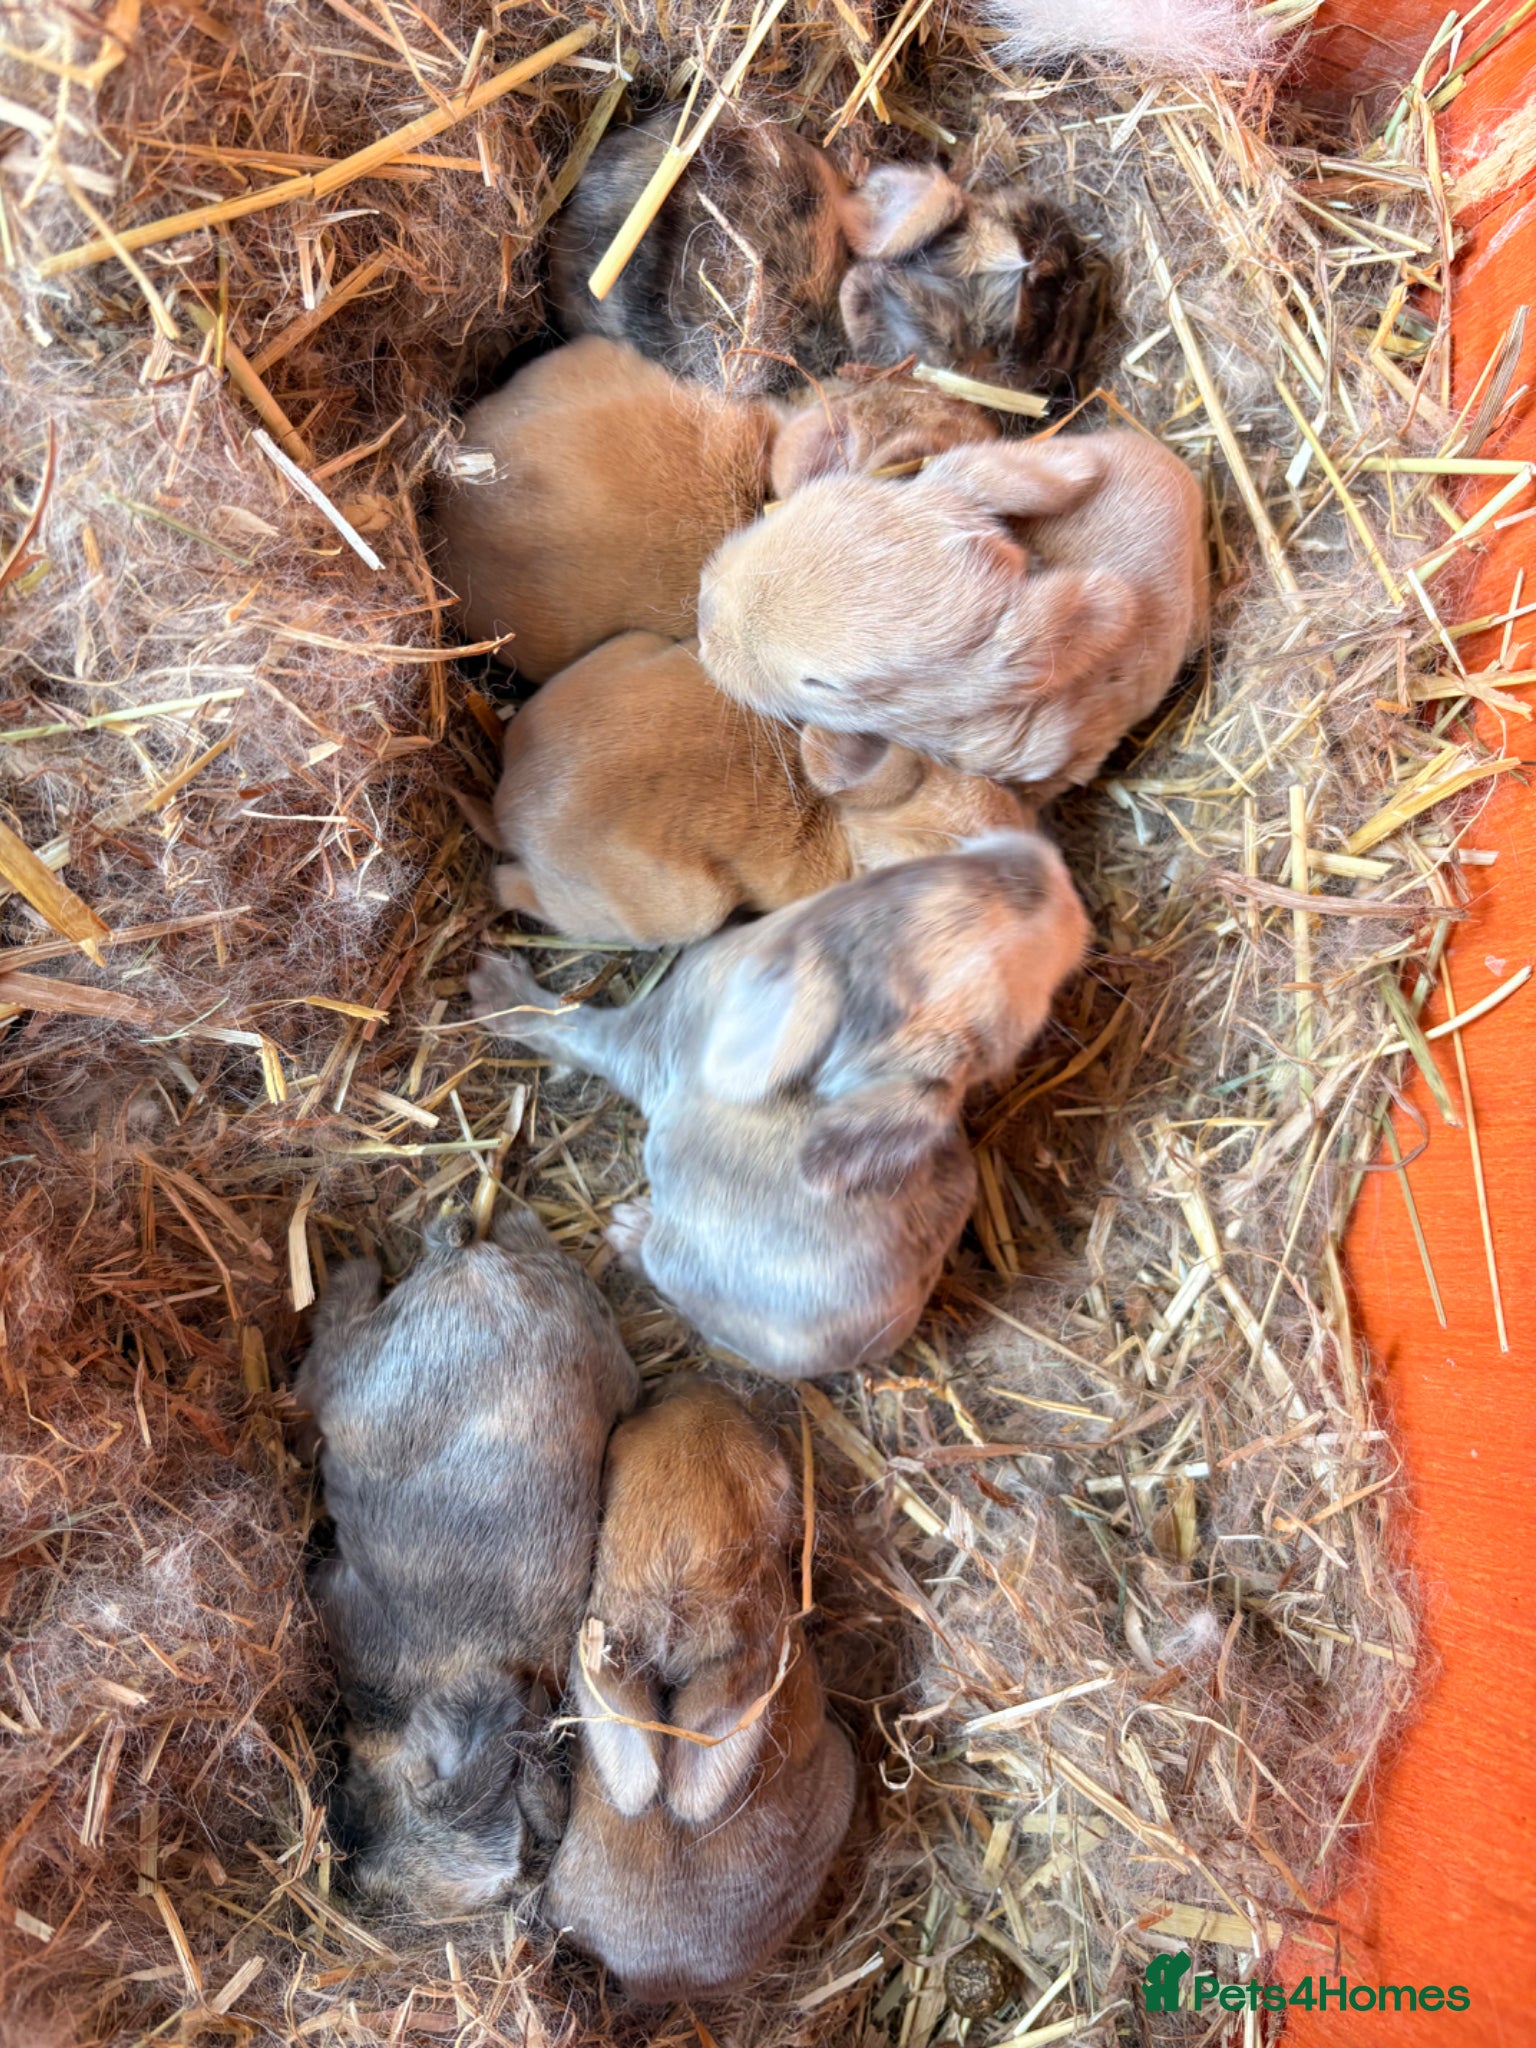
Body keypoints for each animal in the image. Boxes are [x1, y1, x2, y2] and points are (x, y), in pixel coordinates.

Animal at [468, 832, 1088, 1379]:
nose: (1053, 872)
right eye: (897, 882)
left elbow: (571, 1027)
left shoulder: (646, 1035)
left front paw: (493, 987)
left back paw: (630, 1229)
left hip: (680, 1260)